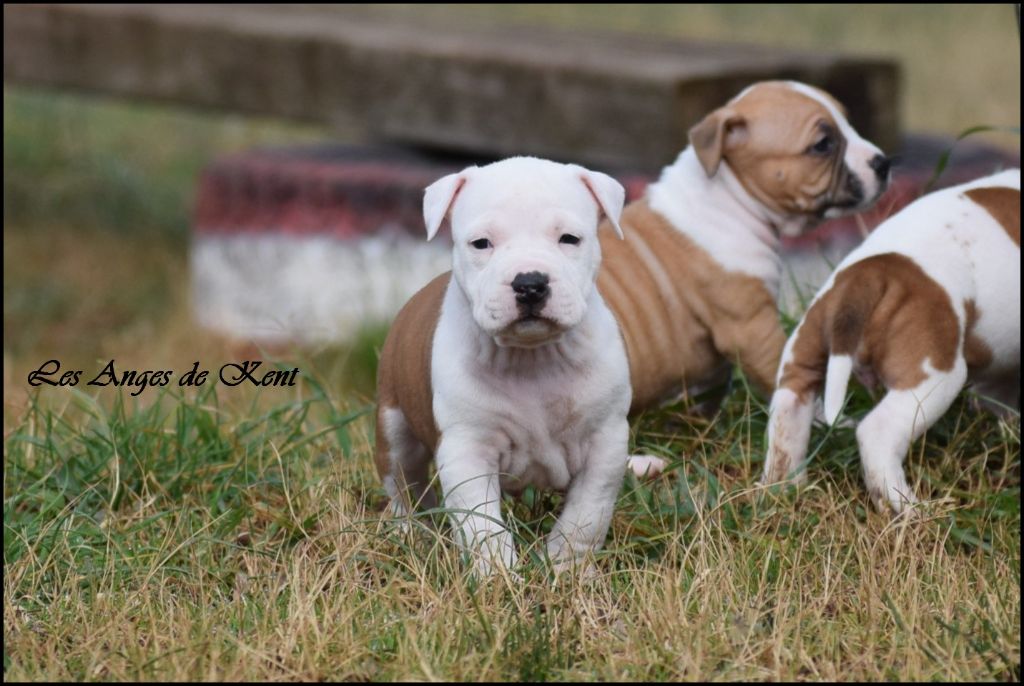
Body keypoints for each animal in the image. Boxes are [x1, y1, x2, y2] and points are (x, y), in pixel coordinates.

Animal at [376, 155, 630, 573]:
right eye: (481, 243)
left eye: (569, 239)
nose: (530, 283)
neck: (533, 356)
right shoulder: (467, 448)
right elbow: (480, 522)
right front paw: (498, 573)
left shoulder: (605, 441)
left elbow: (587, 513)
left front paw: (567, 567)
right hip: (394, 424)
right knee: (403, 481)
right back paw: (411, 530)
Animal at [593, 80, 888, 479]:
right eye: (823, 144)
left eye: (849, 123)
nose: (883, 163)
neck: (728, 195)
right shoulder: (753, 329)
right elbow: (792, 382)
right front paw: (833, 424)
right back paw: (643, 464)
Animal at [765, 170, 1019, 516]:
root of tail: (866, 276)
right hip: (931, 375)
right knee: (877, 433)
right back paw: (908, 507)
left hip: (804, 353)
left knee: (787, 416)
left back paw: (783, 489)